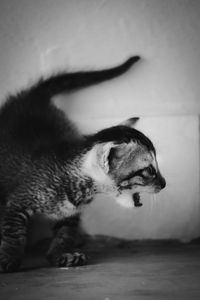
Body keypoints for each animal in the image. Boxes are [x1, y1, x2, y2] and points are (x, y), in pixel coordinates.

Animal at [0, 56, 166, 272]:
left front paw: (61, 254)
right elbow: (13, 232)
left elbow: (65, 234)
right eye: (149, 170)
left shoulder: (70, 214)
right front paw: (8, 258)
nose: (164, 184)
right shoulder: (18, 201)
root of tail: (31, 98)